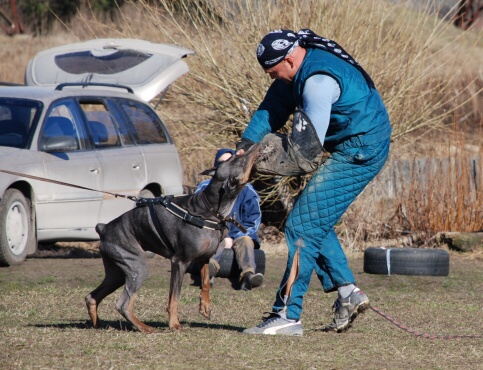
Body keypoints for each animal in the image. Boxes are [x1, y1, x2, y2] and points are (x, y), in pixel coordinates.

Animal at [86, 145, 260, 332]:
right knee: (123, 304)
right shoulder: (180, 261)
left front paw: (205, 307)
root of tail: (103, 228)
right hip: (137, 266)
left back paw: (98, 324)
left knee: (92, 297)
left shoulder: (204, 258)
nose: (253, 146)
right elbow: (174, 297)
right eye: (239, 160)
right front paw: (174, 324)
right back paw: (144, 327)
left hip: (118, 271)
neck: (210, 210)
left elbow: (206, 282)